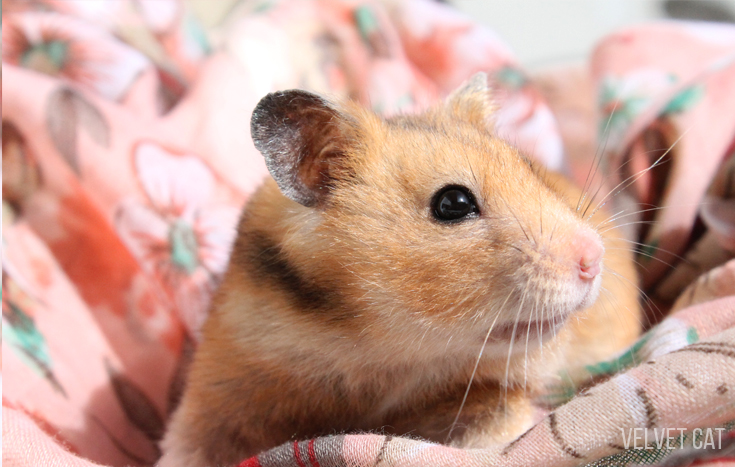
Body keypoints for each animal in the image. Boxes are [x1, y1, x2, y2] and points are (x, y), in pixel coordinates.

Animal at [158, 73, 641, 467]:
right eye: (453, 203)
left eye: (531, 169)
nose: (593, 259)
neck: (369, 346)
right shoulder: (223, 388)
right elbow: (188, 446)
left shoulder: (495, 395)